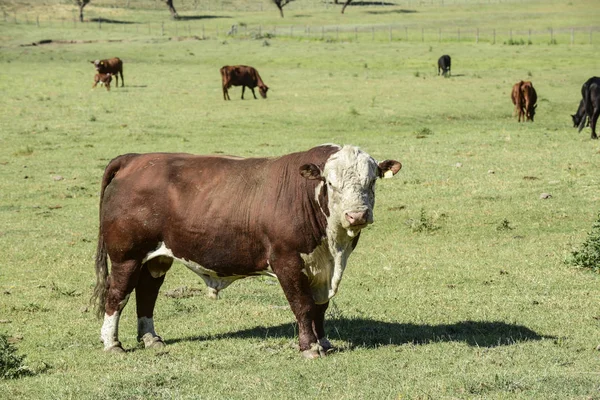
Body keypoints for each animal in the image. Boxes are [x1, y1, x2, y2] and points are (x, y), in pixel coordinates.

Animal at [94, 145, 400, 358]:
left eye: (371, 181)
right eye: (330, 183)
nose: (357, 215)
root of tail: (135, 158)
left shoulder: (323, 269)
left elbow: (320, 308)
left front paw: (324, 342)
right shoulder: (287, 261)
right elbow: (302, 305)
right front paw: (309, 347)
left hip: (156, 257)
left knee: (147, 292)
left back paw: (151, 338)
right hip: (126, 256)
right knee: (117, 294)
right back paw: (112, 343)